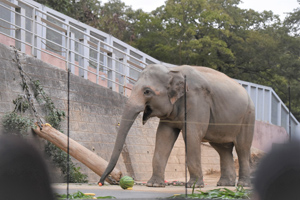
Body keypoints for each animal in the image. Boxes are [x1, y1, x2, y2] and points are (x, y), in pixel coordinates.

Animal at [99, 63, 254, 188]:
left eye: (147, 91)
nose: (101, 182)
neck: (173, 71)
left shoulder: (197, 101)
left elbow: (191, 134)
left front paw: (194, 186)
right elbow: (163, 136)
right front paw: (154, 184)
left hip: (248, 117)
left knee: (242, 148)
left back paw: (242, 184)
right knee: (223, 148)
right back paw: (225, 184)